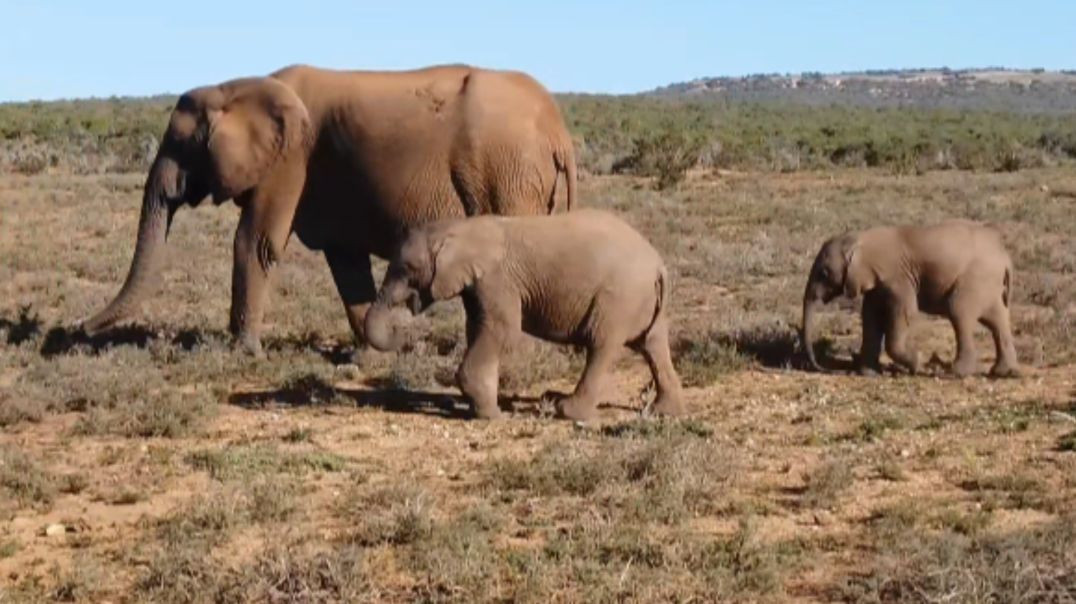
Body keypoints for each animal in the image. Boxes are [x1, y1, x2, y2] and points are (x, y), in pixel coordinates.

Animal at [81, 64, 577, 357]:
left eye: (180, 144)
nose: (81, 328)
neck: (237, 86)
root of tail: (558, 132)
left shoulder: (288, 159)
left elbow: (255, 243)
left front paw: (243, 353)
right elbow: (346, 263)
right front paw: (370, 354)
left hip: (508, 173)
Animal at [363, 209, 685, 421]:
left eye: (407, 269)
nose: (402, 325)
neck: (458, 229)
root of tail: (658, 264)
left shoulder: (497, 279)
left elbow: (501, 330)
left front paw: (490, 416)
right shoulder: (479, 285)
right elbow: (477, 328)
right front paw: (483, 408)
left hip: (618, 297)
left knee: (601, 345)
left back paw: (565, 410)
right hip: (641, 301)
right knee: (653, 346)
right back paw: (664, 411)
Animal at [801, 219, 1023, 378]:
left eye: (823, 273)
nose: (825, 368)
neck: (859, 238)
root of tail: (1005, 256)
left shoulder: (898, 278)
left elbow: (904, 313)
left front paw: (917, 365)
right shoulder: (878, 284)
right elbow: (870, 317)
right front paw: (869, 373)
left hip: (975, 280)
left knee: (959, 312)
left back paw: (955, 373)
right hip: (988, 284)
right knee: (997, 320)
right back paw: (1003, 372)